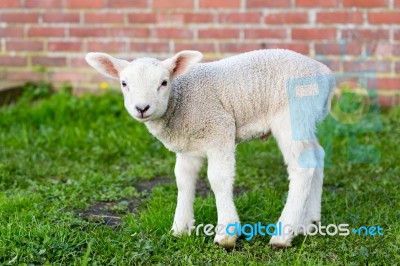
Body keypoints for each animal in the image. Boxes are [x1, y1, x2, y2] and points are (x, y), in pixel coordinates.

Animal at [86, 48, 336, 249]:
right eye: (124, 83)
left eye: (164, 82)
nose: (142, 108)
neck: (181, 101)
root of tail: (325, 72)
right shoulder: (187, 147)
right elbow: (183, 180)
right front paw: (180, 229)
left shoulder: (219, 129)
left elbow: (217, 179)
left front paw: (226, 234)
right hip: (306, 118)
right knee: (317, 156)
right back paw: (309, 222)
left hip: (293, 114)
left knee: (302, 167)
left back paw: (282, 235)